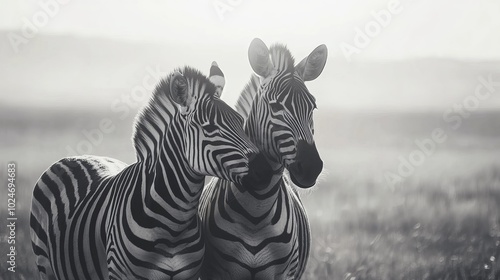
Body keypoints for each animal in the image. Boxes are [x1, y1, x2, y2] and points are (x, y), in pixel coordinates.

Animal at [30, 63, 274, 280]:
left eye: (241, 122)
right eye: (210, 128)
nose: (265, 169)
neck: (174, 225)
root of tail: (78, 156)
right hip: (45, 266)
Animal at [199, 39, 328, 280]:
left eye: (313, 107)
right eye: (276, 106)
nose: (311, 167)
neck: (257, 210)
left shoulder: (285, 274)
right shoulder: (218, 273)